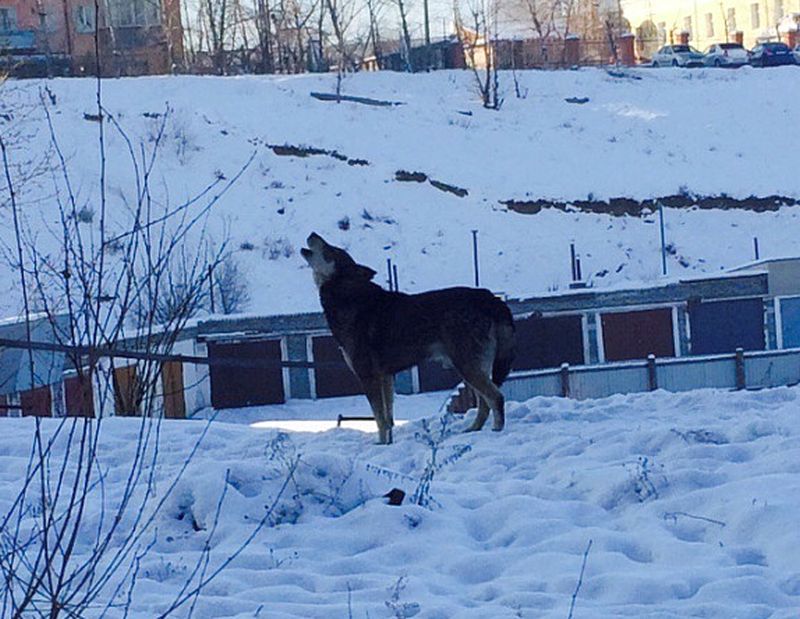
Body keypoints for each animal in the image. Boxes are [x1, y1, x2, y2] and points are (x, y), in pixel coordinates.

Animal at [302, 234, 520, 446]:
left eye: (330, 249)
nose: (312, 233)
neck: (347, 296)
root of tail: (490, 298)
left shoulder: (368, 376)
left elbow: (380, 419)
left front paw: (380, 444)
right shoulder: (386, 377)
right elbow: (388, 419)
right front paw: (389, 445)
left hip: (467, 366)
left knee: (496, 398)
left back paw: (495, 432)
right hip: (470, 368)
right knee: (484, 403)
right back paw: (473, 430)